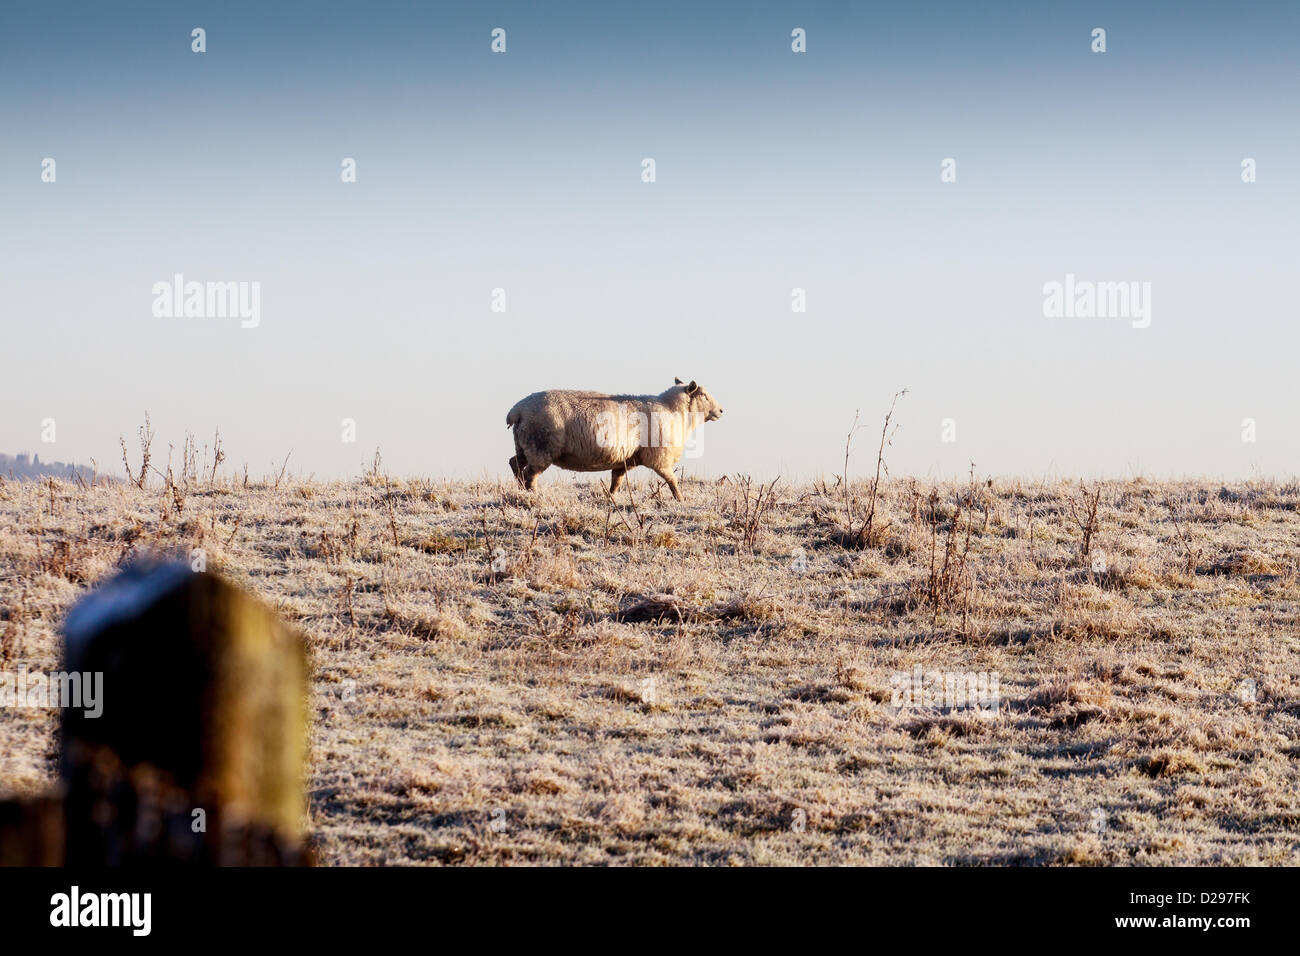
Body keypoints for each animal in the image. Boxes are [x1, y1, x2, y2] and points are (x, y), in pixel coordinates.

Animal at [504, 379, 728, 504]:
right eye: (704, 395)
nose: (721, 411)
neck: (674, 411)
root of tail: (517, 410)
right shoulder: (659, 458)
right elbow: (672, 479)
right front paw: (680, 498)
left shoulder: (624, 460)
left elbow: (616, 482)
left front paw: (610, 497)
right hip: (541, 447)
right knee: (530, 474)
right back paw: (533, 494)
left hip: (524, 444)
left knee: (515, 463)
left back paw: (520, 489)